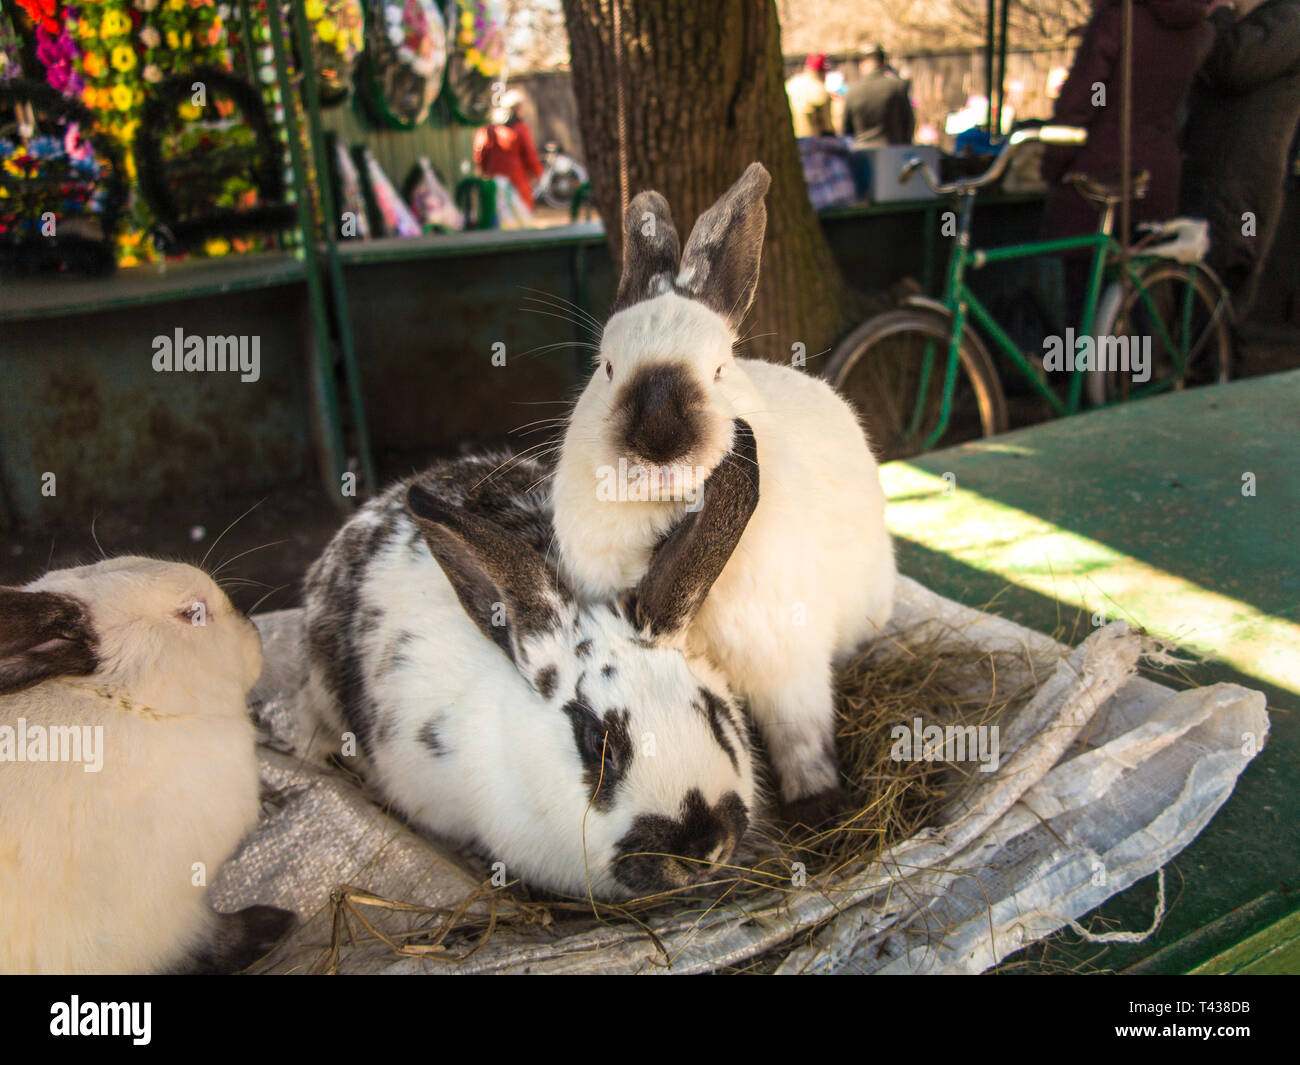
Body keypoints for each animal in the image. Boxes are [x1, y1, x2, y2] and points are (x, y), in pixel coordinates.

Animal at [0, 559, 295, 972]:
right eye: (192, 613)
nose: (250, 626)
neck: (120, 704)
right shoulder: (163, 915)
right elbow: (206, 940)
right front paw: (271, 926)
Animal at [548, 160, 894, 827]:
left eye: (720, 368)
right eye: (606, 367)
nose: (660, 442)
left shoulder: (787, 663)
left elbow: (801, 737)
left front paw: (818, 805)